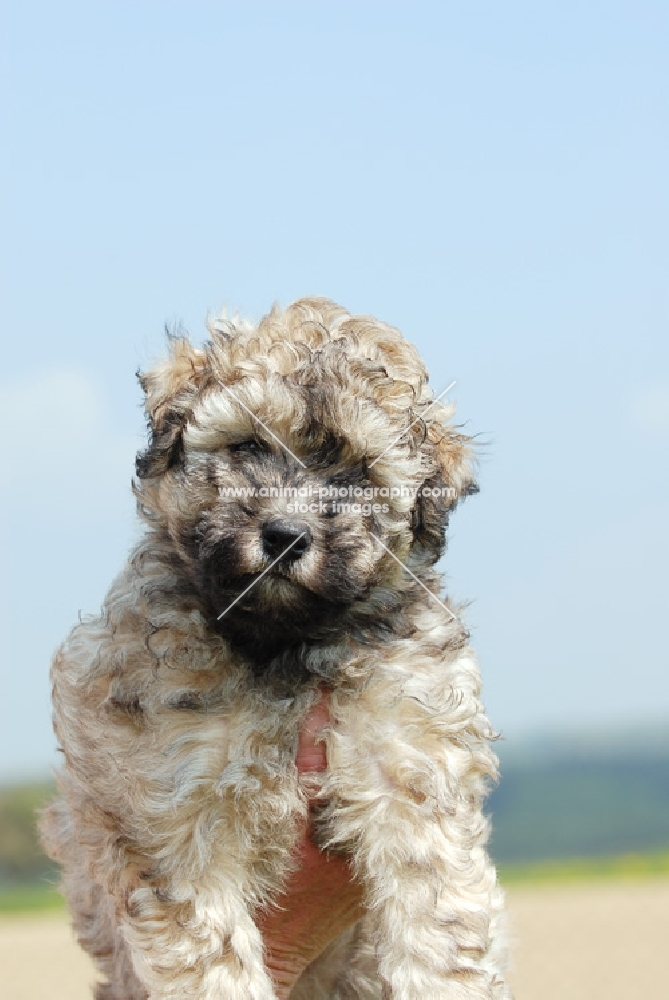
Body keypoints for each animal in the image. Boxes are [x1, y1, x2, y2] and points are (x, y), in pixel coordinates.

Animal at [41, 298, 508, 1000]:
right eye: (248, 446)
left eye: (358, 475)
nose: (286, 535)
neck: (285, 648)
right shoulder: (173, 812)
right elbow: (212, 953)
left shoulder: (411, 762)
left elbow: (436, 908)